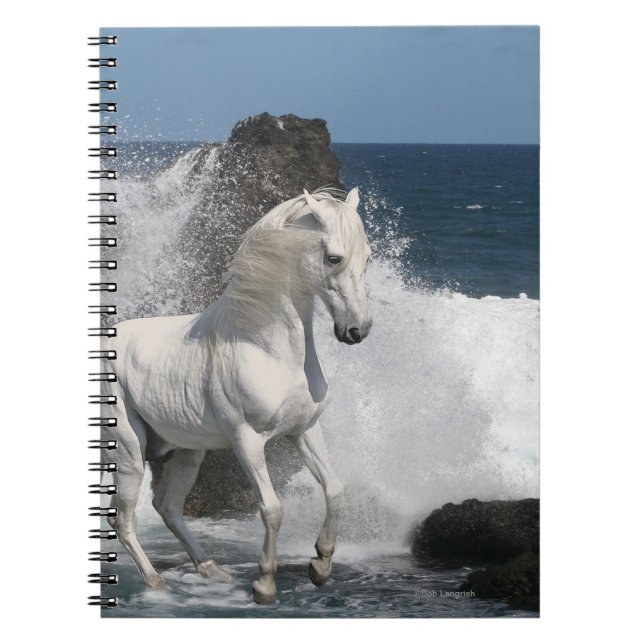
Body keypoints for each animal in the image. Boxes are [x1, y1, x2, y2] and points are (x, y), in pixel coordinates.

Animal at [101, 187, 372, 604]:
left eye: (368, 256)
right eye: (334, 258)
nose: (357, 330)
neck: (267, 347)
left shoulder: (305, 431)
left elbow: (335, 490)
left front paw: (320, 566)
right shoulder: (247, 441)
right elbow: (272, 509)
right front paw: (264, 585)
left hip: (187, 452)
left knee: (167, 506)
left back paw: (211, 569)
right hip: (129, 452)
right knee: (125, 518)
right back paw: (156, 582)